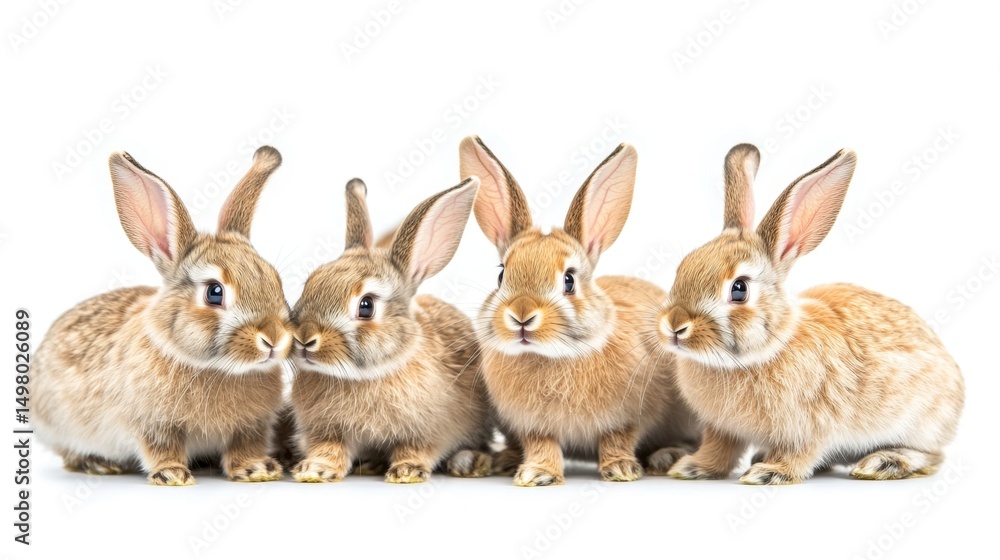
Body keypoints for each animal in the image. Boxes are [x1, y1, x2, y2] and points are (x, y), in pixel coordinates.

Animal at [32, 146, 294, 486]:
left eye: (276, 281)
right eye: (214, 292)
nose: (274, 338)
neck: (218, 368)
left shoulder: (251, 426)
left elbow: (244, 446)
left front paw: (257, 469)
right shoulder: (152, 423)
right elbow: (161, 447)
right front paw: (172, 475)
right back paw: (98, 464)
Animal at [289, 176, 495, 484]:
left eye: (366, 306)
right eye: (310, 284)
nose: (304, 339)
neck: (366, 376)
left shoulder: (428, 429)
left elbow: (416, 448)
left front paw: (406, 471)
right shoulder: (325, 429)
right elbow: (330, 447)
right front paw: (315, 468)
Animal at [458, 136, 700, 486]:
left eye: (569, 280)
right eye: (502, 275)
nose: (521, 315)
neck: (552, 355)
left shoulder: (628, 417)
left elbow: (617, 438)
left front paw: (621, 470)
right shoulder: (531, 425)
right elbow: (541, 444)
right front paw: (537, 474)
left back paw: (666, 457)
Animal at [660, 143, 965, 484]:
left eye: (739, 289)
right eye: (682, 268)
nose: (675, 325)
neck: (764, 351)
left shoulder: (809, 428)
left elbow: (799, 454)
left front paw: (768, 474)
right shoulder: (722, 430)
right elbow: (718, 452)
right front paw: (691, 467)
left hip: (921, 424)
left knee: (933, 455)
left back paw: (882, 462)